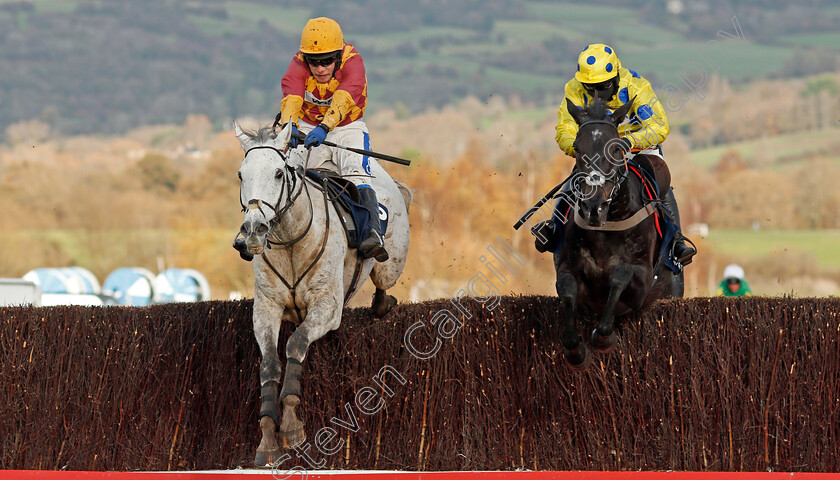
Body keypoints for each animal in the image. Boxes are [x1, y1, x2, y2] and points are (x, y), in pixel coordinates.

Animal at [556, 95, 684, 370]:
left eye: (615, 149)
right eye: (577, 148)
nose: (593, 206)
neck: (606, 224)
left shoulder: (643, 283)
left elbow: (619, 275)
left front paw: (603, 337)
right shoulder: (568, 268)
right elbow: (568, 291)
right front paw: (575, 351)